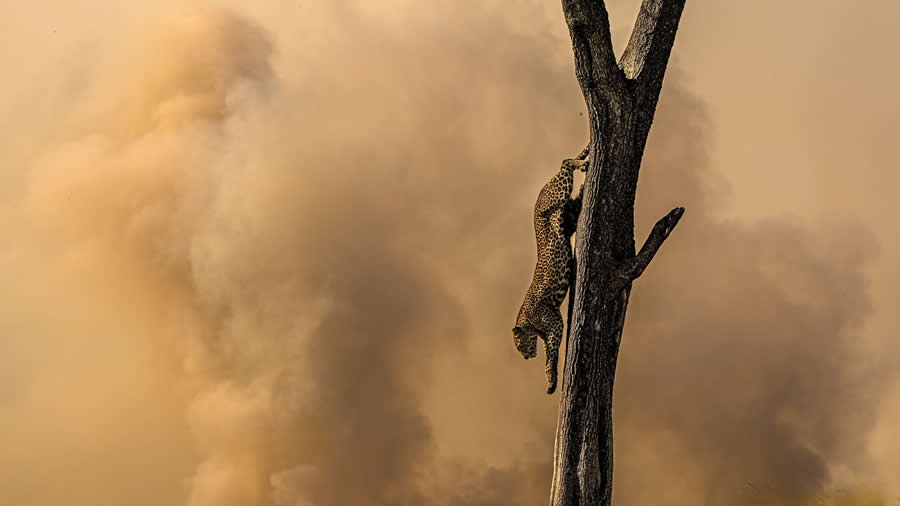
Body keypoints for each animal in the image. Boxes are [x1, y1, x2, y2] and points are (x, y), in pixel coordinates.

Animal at [512, 144, 592, 394]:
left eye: (520, 346)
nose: (526, 357)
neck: (527, 321)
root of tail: (538, 196)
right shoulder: (550, 327)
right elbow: (548, 352)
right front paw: (550, 379)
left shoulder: (555, 322)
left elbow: (552, 353)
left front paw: (552, 375)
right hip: (567, 214)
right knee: (577, 196)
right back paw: (585, 170)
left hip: (556, 194)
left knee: (564, 163)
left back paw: (582, 164)